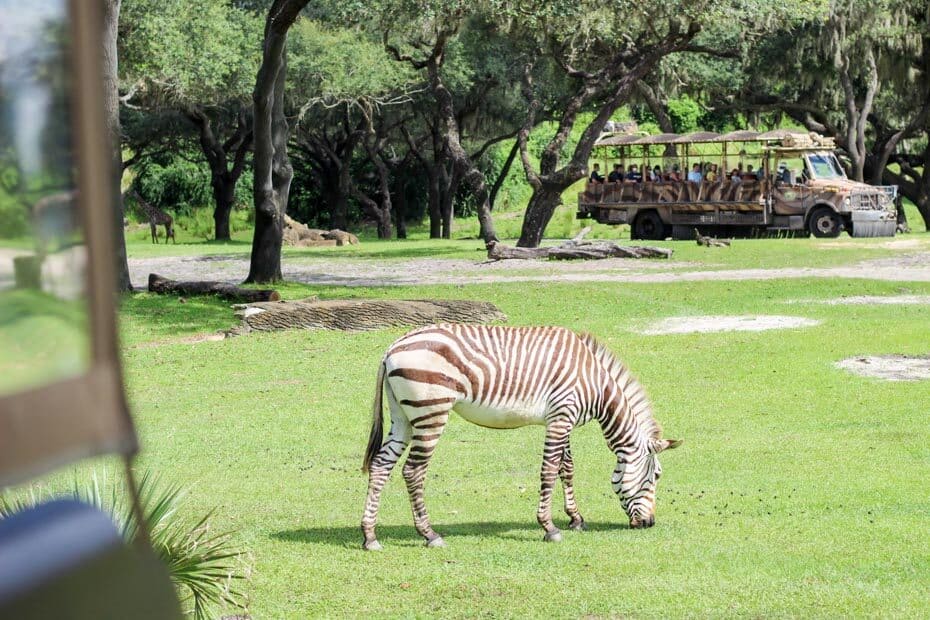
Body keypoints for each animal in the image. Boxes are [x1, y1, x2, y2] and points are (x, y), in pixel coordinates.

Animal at [358, 322, 676, 548]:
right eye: (656, 476)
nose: (649, 523)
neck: (595, 383)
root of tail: (393, 347)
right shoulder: (561, 416)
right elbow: (549, 470)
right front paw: (549, 527)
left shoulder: (563, 419)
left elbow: (567, 468)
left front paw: (575, 519)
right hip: (430, 412)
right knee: (413, 471)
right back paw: (430, 534)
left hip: (403, 416)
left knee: (381, 465)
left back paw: (370, 536)